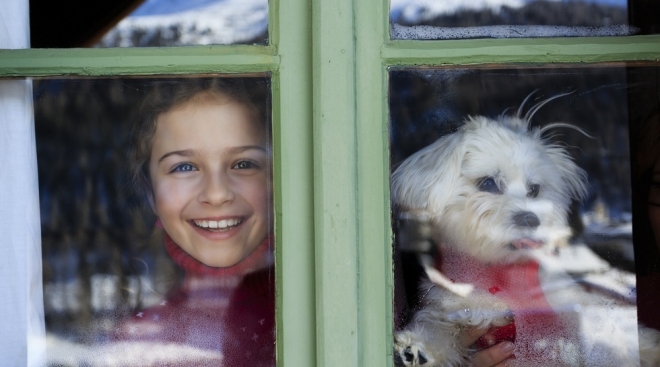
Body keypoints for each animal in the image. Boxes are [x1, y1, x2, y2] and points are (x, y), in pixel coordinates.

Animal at [392, 95, 648, 367]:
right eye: (488, 183)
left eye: (534, 189)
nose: (531, 218)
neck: (498, 277)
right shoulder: (448, 307)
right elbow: (436, 328)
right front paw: (418, 349)